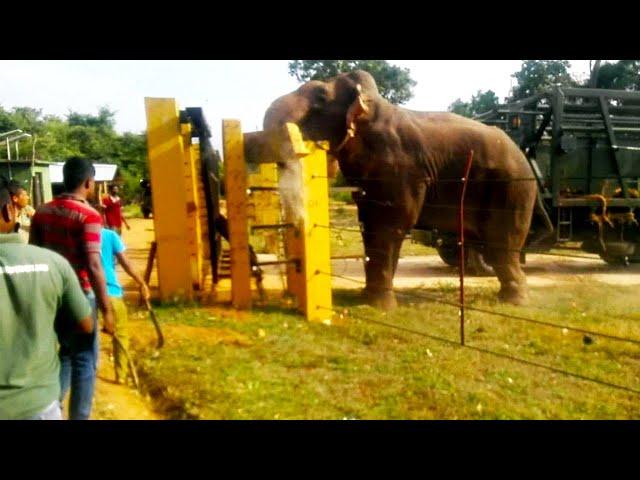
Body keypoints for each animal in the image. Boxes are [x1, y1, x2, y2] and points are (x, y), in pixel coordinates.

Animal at [246, 70, 552, 312]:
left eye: (320, 97)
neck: (374, 106)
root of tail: (524, 156)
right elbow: (369, 223)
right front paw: (368, 300)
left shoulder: (399, 168)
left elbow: (389, 225)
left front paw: (380, 307)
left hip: (511, 188)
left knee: (501, 243)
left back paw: (514, 301)